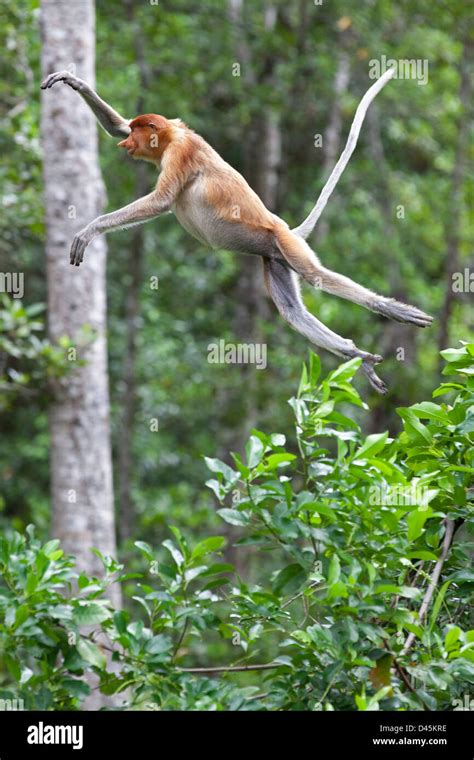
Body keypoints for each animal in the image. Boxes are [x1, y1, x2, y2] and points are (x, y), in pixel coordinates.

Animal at [41, 72, 434, 394]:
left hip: (285, 243)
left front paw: (88, 231)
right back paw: (356, 354)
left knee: (314, 274)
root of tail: (286, 228)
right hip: (274, 257)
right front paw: (73, 81)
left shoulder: (180, 153)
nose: (127, 146)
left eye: (141, 132)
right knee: (292, 311)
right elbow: (116, 125)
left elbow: (161, 200)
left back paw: (390, 311)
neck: (172, 136)